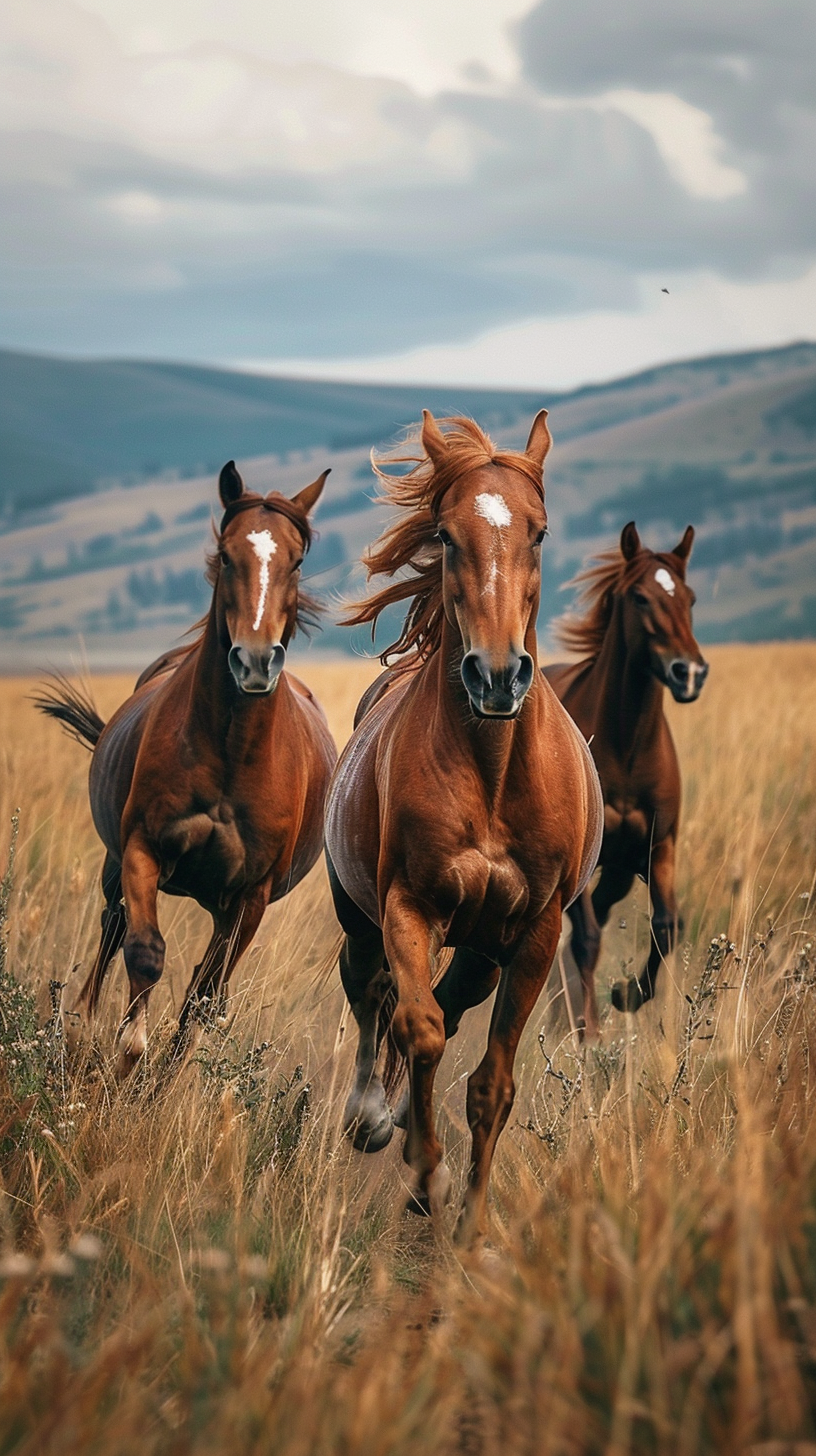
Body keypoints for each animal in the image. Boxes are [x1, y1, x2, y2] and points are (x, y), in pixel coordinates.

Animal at [36, 462, 337, 1076]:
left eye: (297, 561)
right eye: (226, 554)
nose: (254, 661)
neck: (231, 751)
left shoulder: (249, 897)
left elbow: (202, 996)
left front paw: (159, 1082)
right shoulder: (142, 850)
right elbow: (146, 953)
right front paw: (127, 1053)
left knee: (205, 985)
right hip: (115, 866)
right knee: (112, 930)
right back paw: (79, 1026)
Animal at [324, 411, 603, 1244]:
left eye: (540, 533)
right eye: (446, 536)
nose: (498, 675)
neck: (492, 771)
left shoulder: (537, 934)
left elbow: (491, 1084)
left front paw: (473, 1226)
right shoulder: (408, 908)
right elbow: (416, 1028)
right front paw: (425, 1174)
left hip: (483, 950)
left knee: (449, 1006)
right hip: (361, 917)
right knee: (374, 995)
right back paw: (372, 1116)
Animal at [543, 520, 708, 1034]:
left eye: (690, 598)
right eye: (639, 597)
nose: (689, 672)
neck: (627, 748)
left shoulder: (659, 847)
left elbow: (667, 927)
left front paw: (626, 995)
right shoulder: (580, 860)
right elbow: (588, 940)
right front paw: (591, 1032)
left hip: (616, 871)